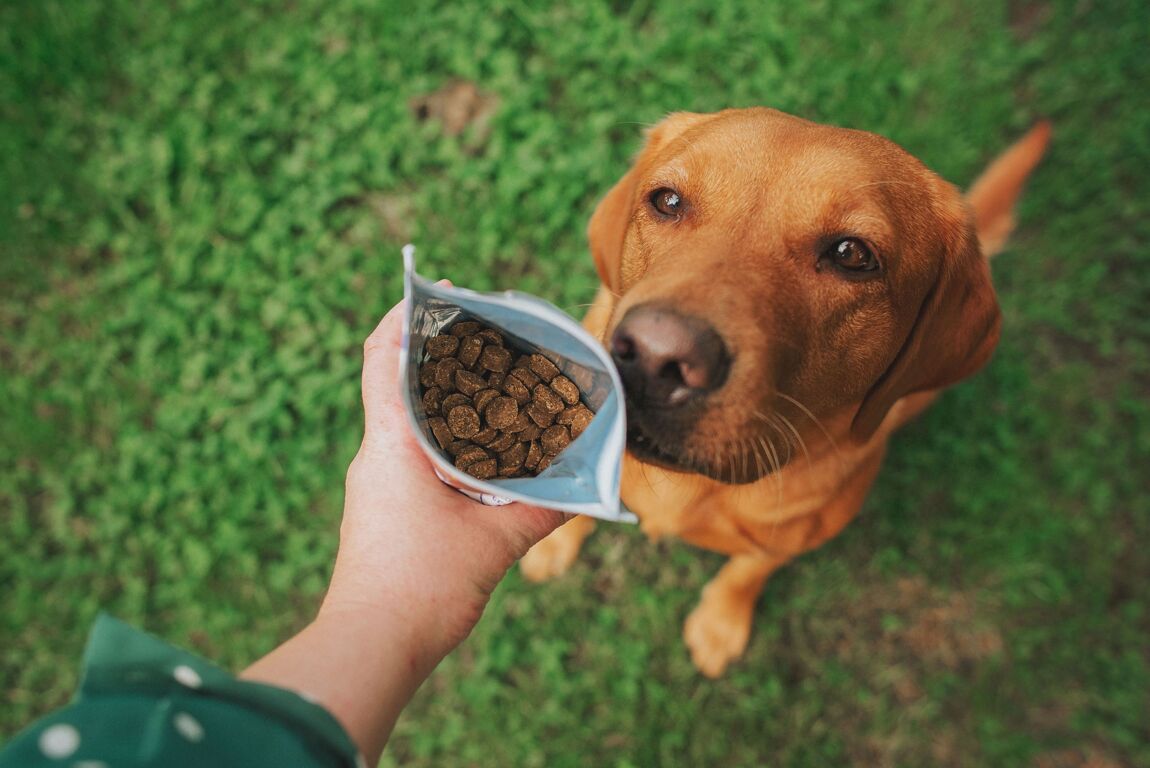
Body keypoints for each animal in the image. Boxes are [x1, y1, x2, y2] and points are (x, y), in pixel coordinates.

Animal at [522, 109, 1053, 676]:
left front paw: (720, 623)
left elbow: (747, 571)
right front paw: (556, 543)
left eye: (851, 254)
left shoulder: (783, 543)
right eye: (667, 201)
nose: (653, 357)